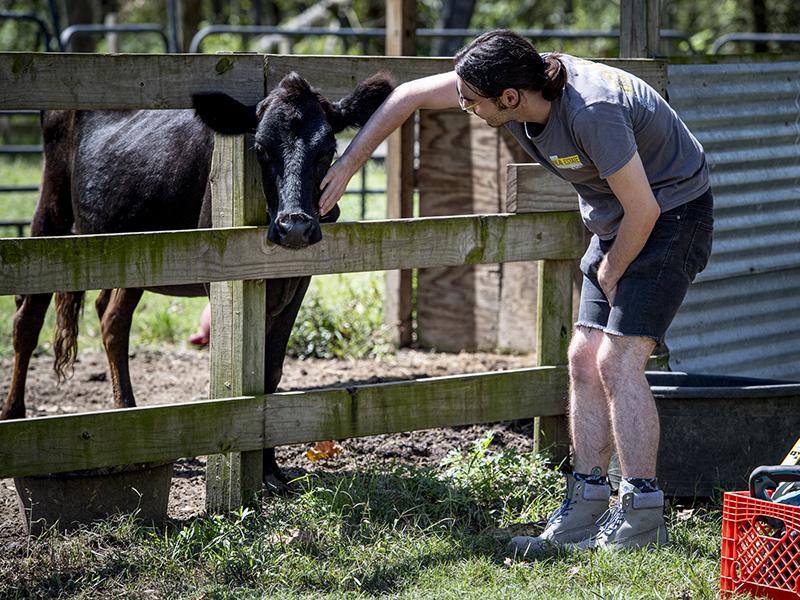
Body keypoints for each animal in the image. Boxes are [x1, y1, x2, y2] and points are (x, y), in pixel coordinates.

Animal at [3, 72, 396, 486]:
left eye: (327, 149)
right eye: (260, 149)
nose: (295, 227)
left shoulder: (298, 280)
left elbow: (271, 371)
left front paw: (270, 471)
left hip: (135, 247)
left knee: (112, 319)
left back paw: (126, 413)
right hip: (51, 208)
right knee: (28, 318)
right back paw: (14, 416)